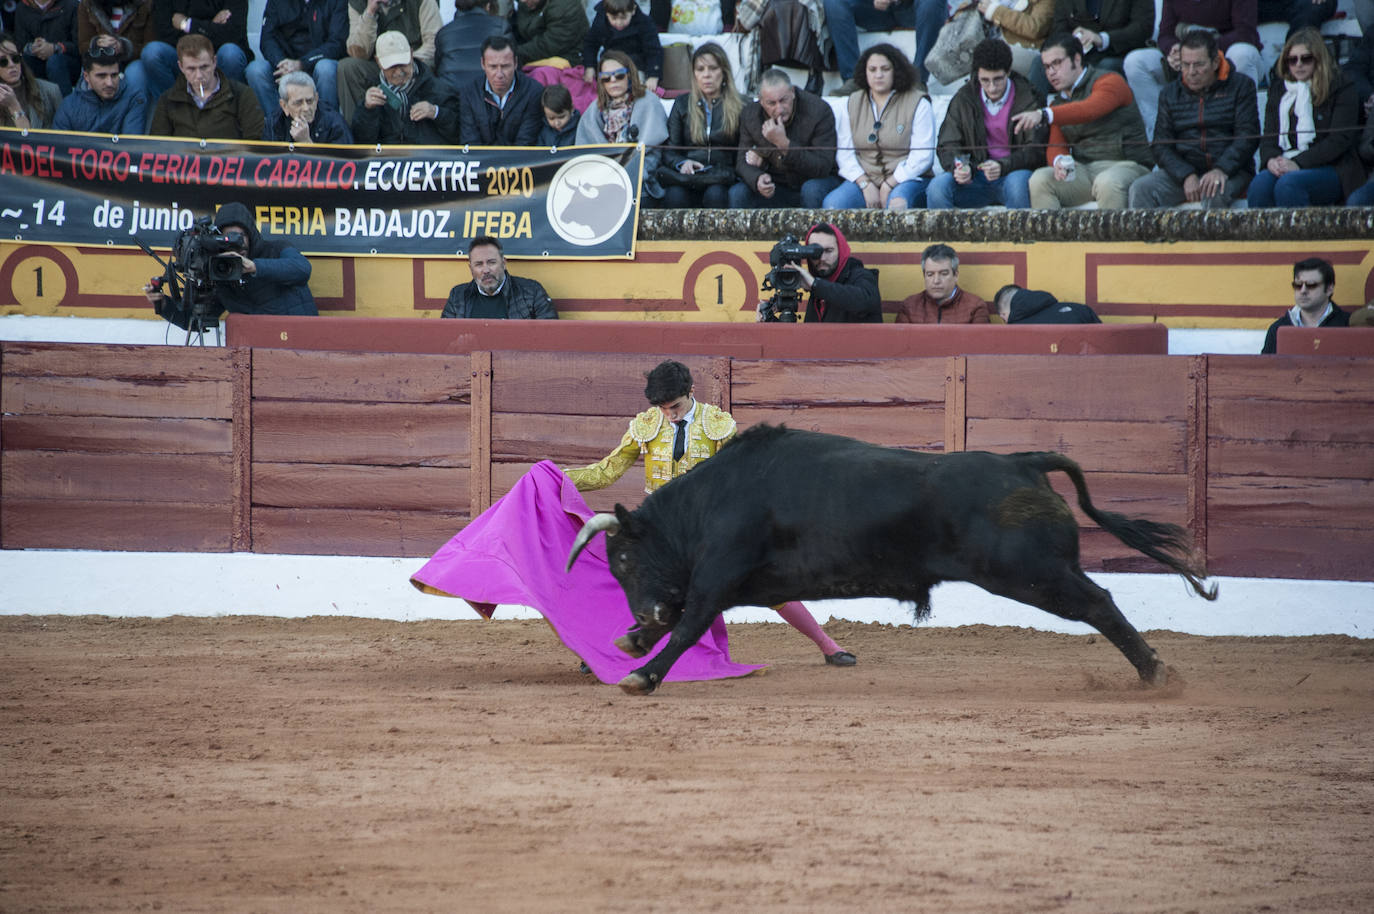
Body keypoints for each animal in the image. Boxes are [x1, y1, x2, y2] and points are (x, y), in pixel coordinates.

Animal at [563, 426, 1220, 692]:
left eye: (627, 558)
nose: (641, 613)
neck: (709, 501)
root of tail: (1023, 462)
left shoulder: (718, 573)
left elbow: (688, 624)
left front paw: (641, 675)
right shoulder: (731, 582)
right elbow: (684, 620)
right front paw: (631, 644)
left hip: (1031, 575)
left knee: (1099, 603)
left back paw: (1154, 672)